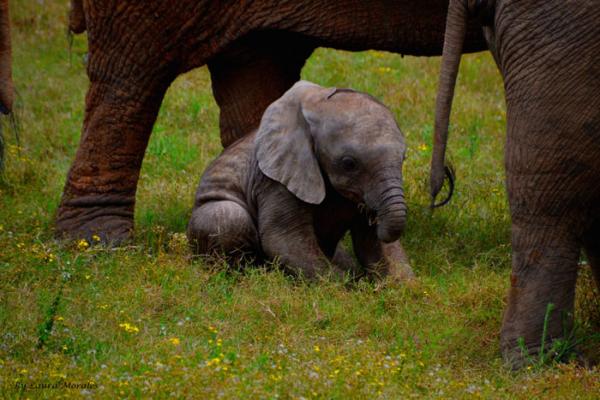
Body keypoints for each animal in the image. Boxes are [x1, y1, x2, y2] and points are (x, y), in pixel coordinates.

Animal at [188, 80, 412, 282]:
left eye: (403, 158)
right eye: (349, 164)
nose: (375, 216)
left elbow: (371, 243)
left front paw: (402, 286)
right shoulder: (275, 179)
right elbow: (284, 239)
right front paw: (353, 287)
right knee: (227, 216)